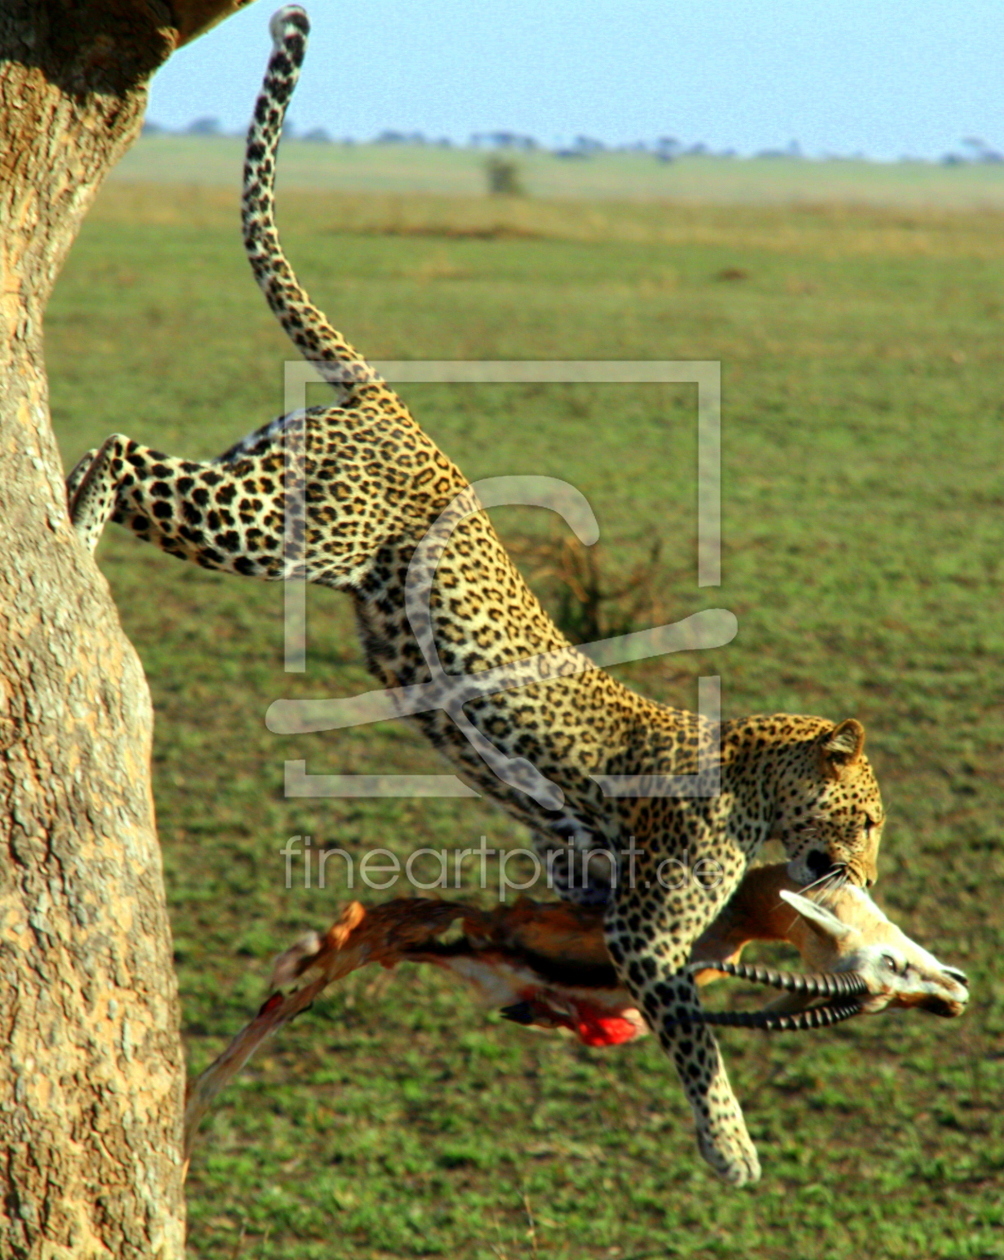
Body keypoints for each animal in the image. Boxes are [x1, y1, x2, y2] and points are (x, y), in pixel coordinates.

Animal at [68, 2, 886, 1179]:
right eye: (861, 818)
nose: (860, 876)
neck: (750, 781)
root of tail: (394, 403)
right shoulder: (643, 930)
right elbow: (692, 1032)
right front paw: (732, 1149)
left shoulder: (584, 893)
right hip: (280, 531)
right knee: (123, 450)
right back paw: (74, 524)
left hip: (264, 490)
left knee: (135, 456)